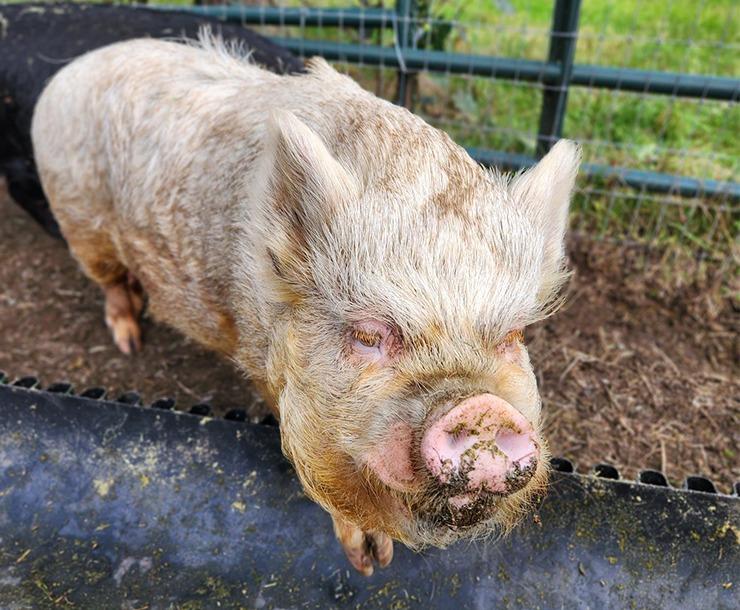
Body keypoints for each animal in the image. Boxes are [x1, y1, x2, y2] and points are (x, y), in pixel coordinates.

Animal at [31, 33, 581, 575]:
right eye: (368, 334)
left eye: (512, 336)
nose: (484, 410)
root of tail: (69, 71)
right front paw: (369, 561)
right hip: (79, 220)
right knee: (111, 283)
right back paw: (130, 341)